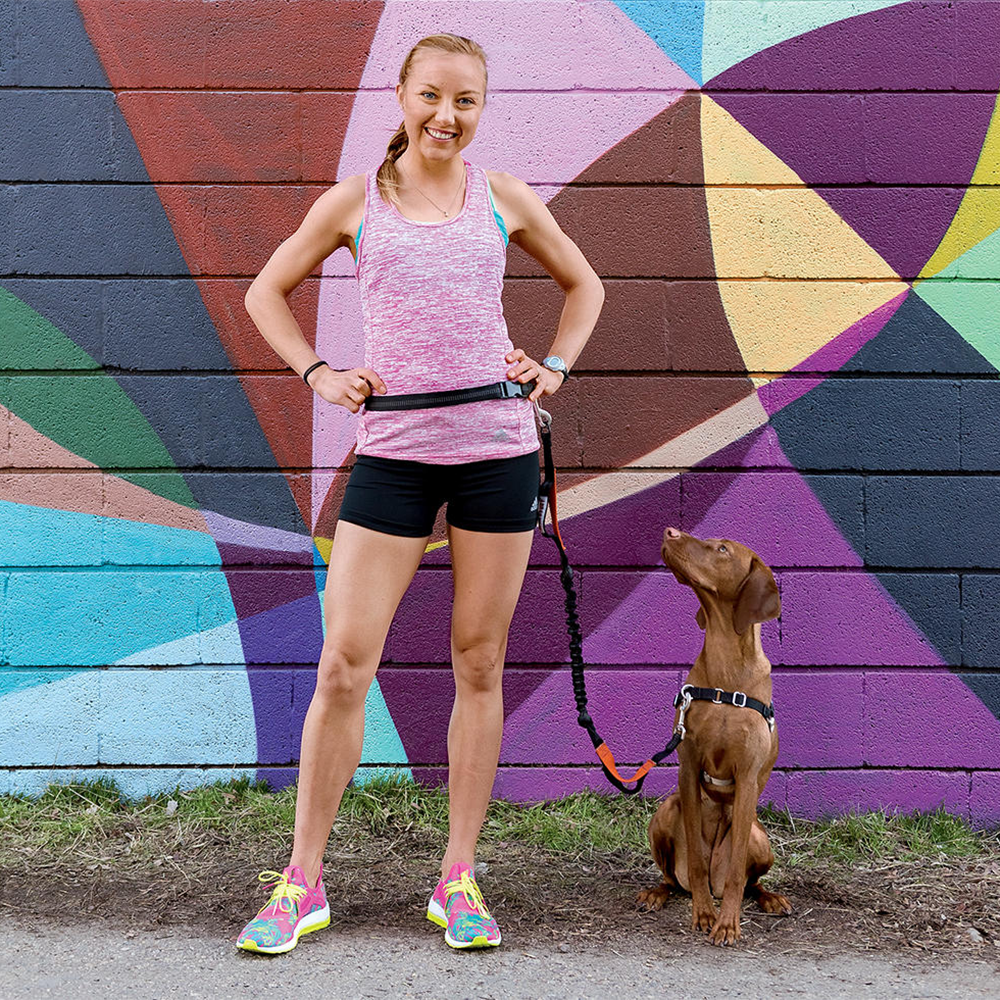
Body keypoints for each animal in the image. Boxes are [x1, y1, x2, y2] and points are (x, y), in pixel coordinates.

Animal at [640, 532, 796, 944]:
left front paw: (727, 923)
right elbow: (695, 858)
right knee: (673, 878)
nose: (670, 532)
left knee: (749, 881)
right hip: (665, 812)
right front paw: (704, 914)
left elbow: (739, 871)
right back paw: (656, 893)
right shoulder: (689, 765)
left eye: (723, 549)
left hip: (760, 837)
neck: (728, 672)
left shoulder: (746, 777)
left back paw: (770, 898)